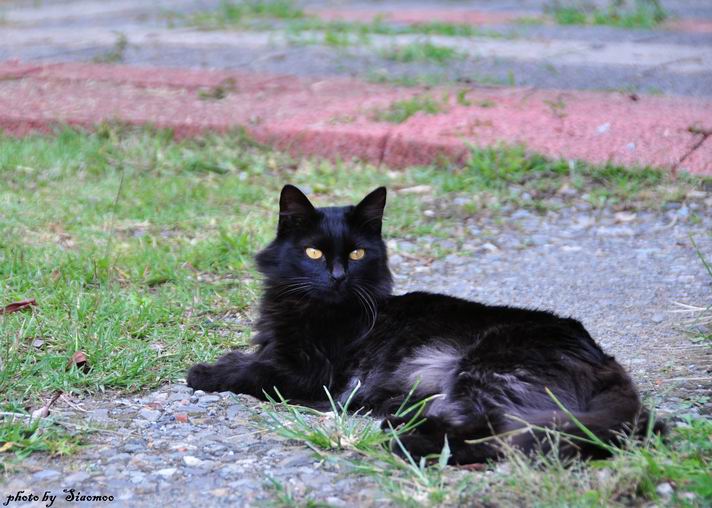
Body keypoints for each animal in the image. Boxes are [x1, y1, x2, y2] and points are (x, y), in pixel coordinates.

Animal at [185, 185, 660, 462]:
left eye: (357, 253)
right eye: (314, 253)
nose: (337, 276)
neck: (315, 307)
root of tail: (603, 358)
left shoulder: (309, 372)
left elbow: (253, 368)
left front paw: (204, 372)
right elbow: (254, 357)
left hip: (489, 368)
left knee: (499, 437)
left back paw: (401, 443)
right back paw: (399, 421)